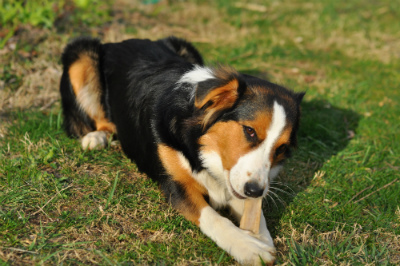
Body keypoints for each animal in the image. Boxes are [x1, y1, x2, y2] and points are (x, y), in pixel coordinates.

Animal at [60, 36, 304, 264]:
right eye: (250, 131)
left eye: (282, 148)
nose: (255, 191)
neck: (200, 144)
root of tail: (120, 41)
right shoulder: (175, 185)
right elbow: (213, 217)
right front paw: (248, 247)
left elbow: (254, 212)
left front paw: (261, 237)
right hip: (80, 55)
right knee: (101, 120)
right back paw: (96, 137)